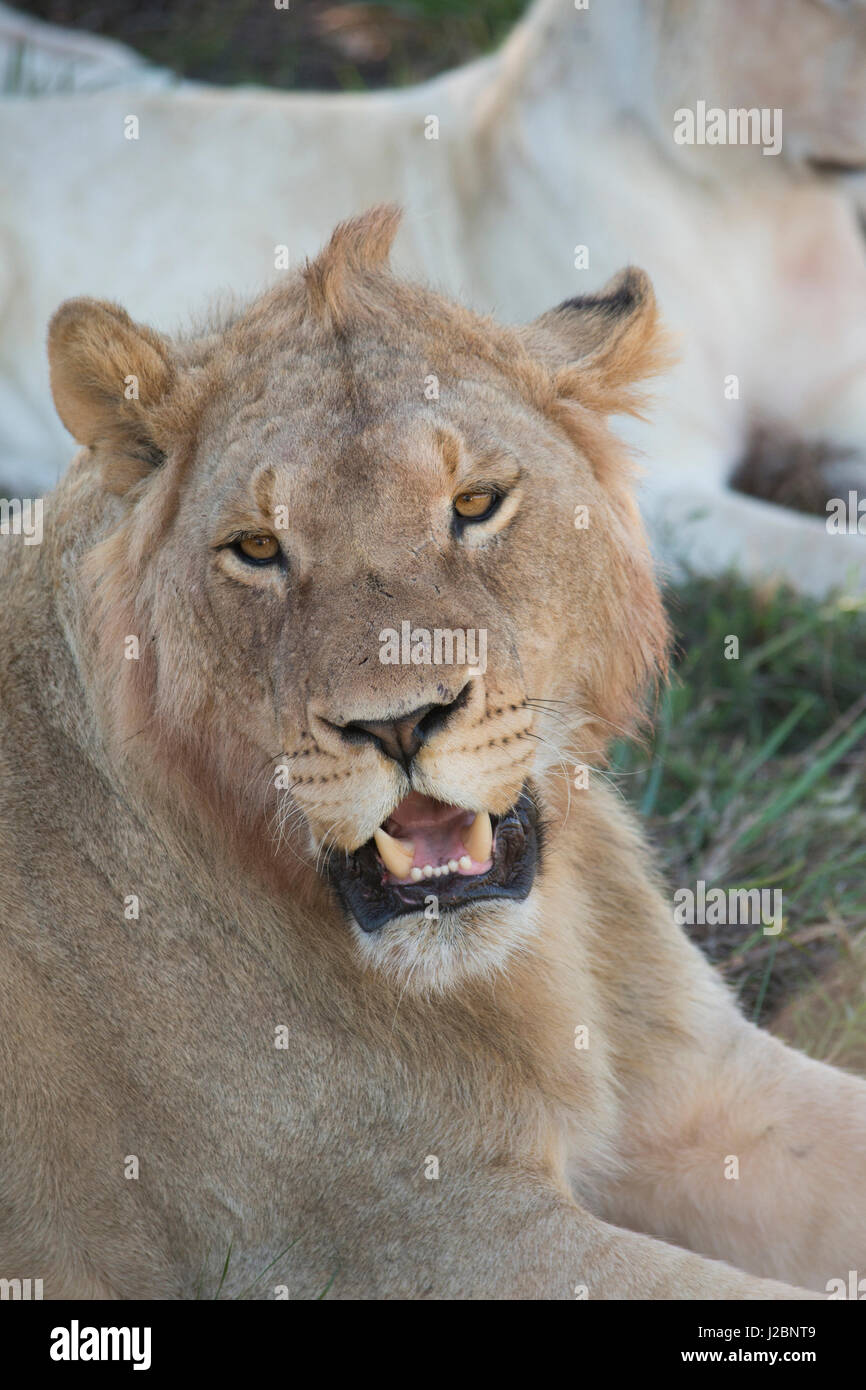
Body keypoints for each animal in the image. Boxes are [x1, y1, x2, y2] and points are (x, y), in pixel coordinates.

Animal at [1, 208, 866, 1301]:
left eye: (476, 503)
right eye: (256, 548)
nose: (398, 723)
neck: (541, 955)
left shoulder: (707, 1086)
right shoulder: (408, 1235)